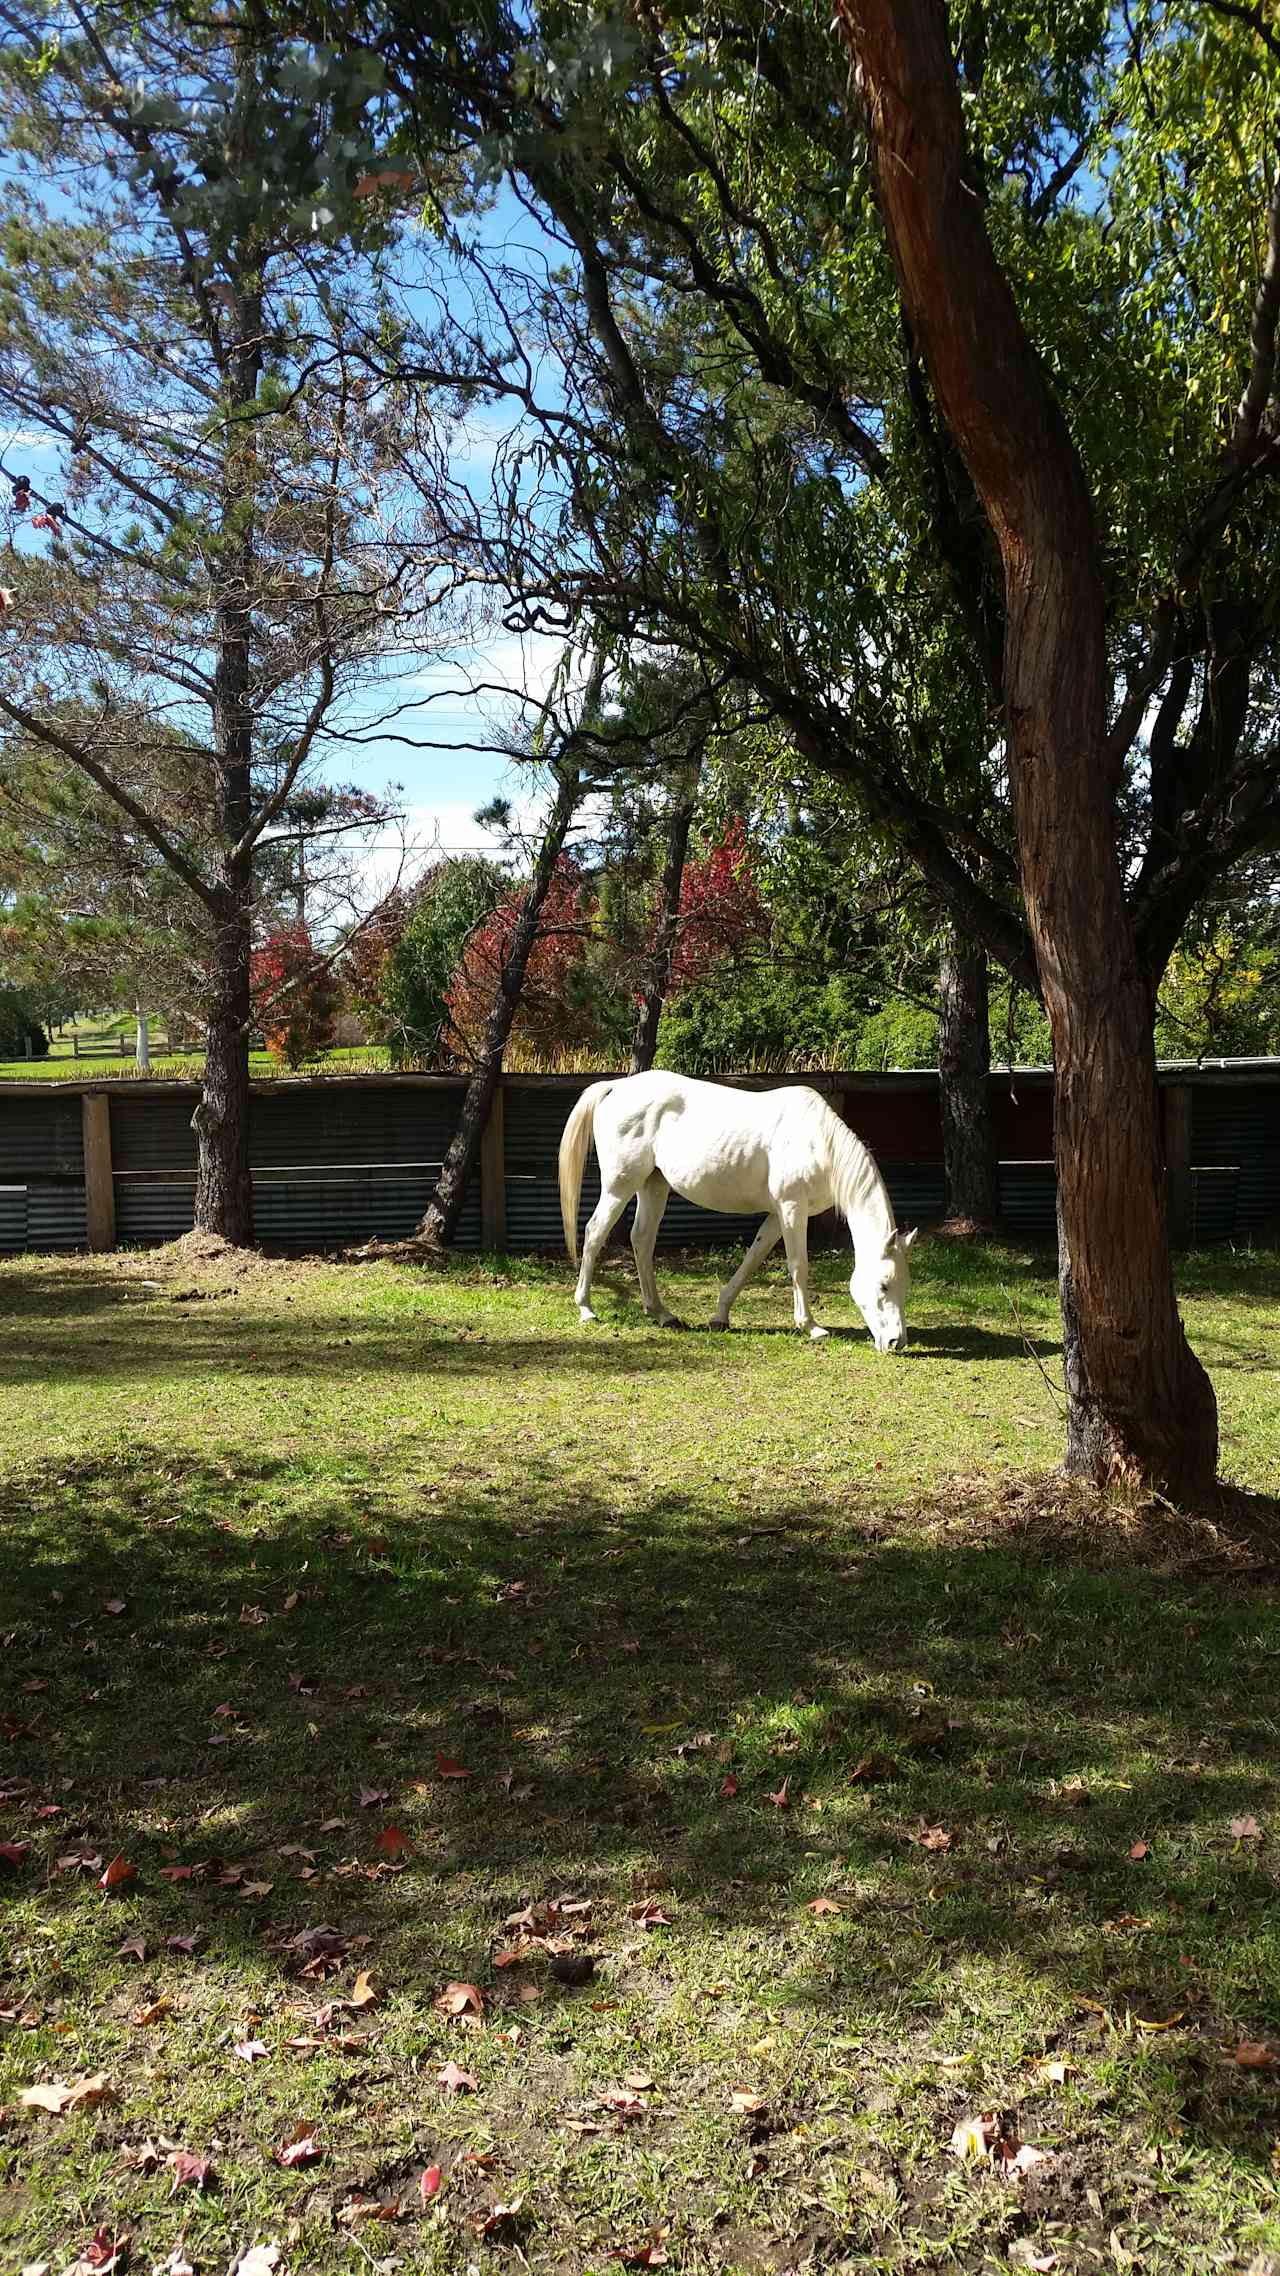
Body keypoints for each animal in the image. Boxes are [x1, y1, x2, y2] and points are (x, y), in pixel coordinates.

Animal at [555, 1074, 906, 1338]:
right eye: (884, 1285)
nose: (896, 1342)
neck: (817, 1142)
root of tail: (616, 1086)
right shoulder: (792, 1208)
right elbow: (798, 1265)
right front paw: (811, 1326)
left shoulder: (778, 1215)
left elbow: (752, 1259)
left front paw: (720, 1316)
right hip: (620, 1185)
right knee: (595, 1233)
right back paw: (587, 1309)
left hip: (653, 1185)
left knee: (641, 1239)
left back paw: (662, 1314)